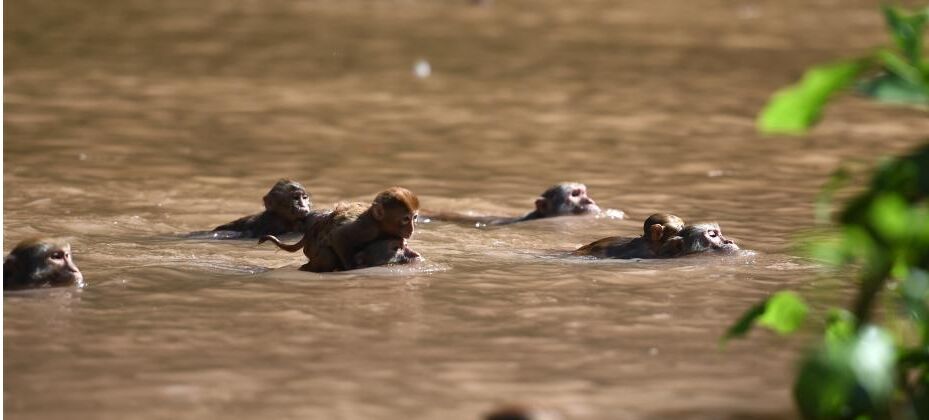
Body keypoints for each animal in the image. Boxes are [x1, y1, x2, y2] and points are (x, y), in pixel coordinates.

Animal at [260, 187, 420, 272]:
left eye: (415, 217)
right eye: (405, 219)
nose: (412, 229)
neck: (378, 223)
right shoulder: (367, 227)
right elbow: (339, 236)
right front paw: (350, 267)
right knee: (328, 254)